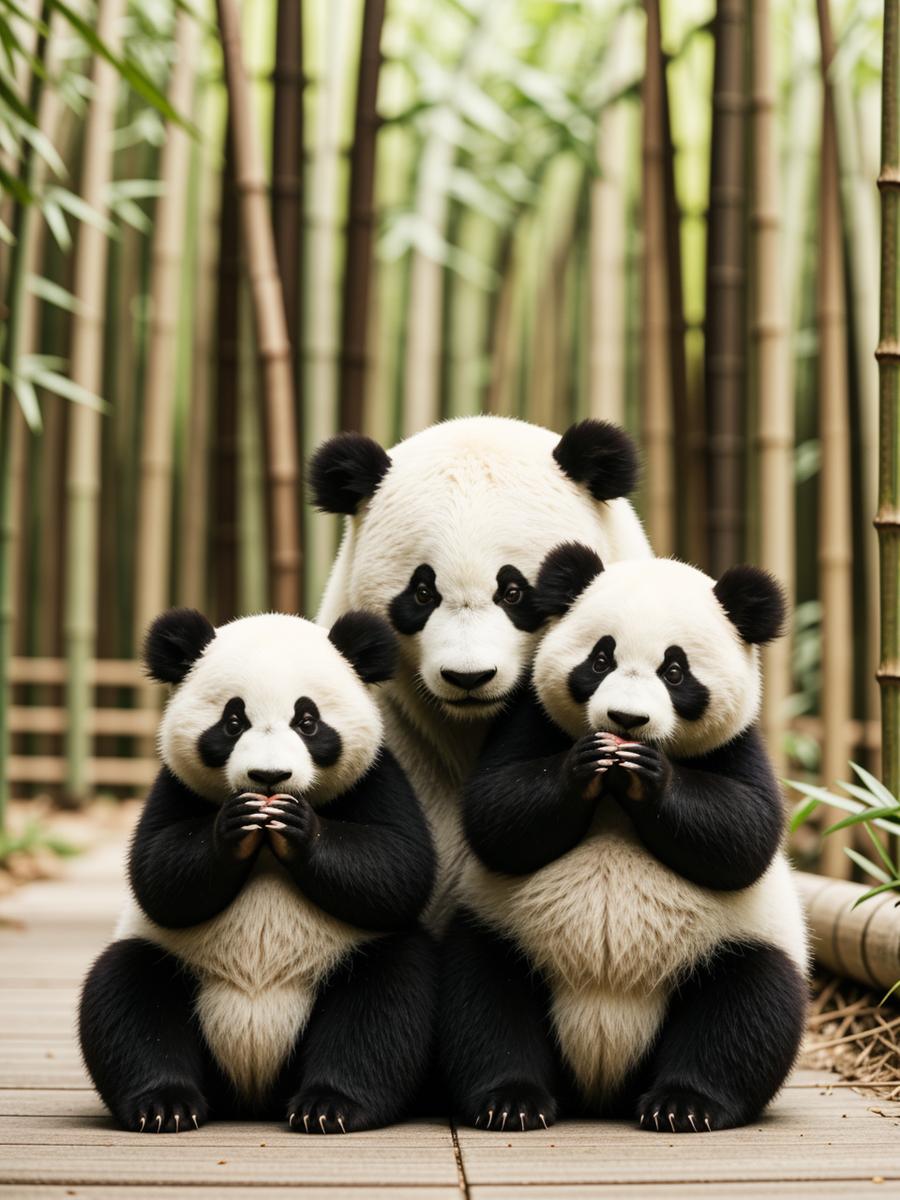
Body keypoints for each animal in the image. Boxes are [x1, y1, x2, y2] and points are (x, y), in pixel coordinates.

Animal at [79, 608, 436, 1134]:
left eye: (307, 721)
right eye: (233, 721)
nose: (269, 777)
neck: (266, 843)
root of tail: (253, 1087)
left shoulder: (377, 778)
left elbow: (400, 867)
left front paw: (300, 826)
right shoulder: (174, 787)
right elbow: (156, 874)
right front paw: (232, 826)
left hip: (338, 968)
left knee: (385, 1001)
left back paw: (329, 1106)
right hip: (181, 971)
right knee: (127, 993)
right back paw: (165, 1104)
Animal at [441, 546, 808, 1133]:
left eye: (675, 671)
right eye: (600, 660)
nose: (626, 719)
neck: (616, 791)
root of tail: (601, 1083)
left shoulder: (739, 747)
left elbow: (747, 834)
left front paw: (653, 773)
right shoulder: (531, 722)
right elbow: (494, 813)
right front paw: (583, 763)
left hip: (724, 949)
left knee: (747, 1007)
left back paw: (684, 1105)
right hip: (508, 936)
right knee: (482, 997)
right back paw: (512, 1100)